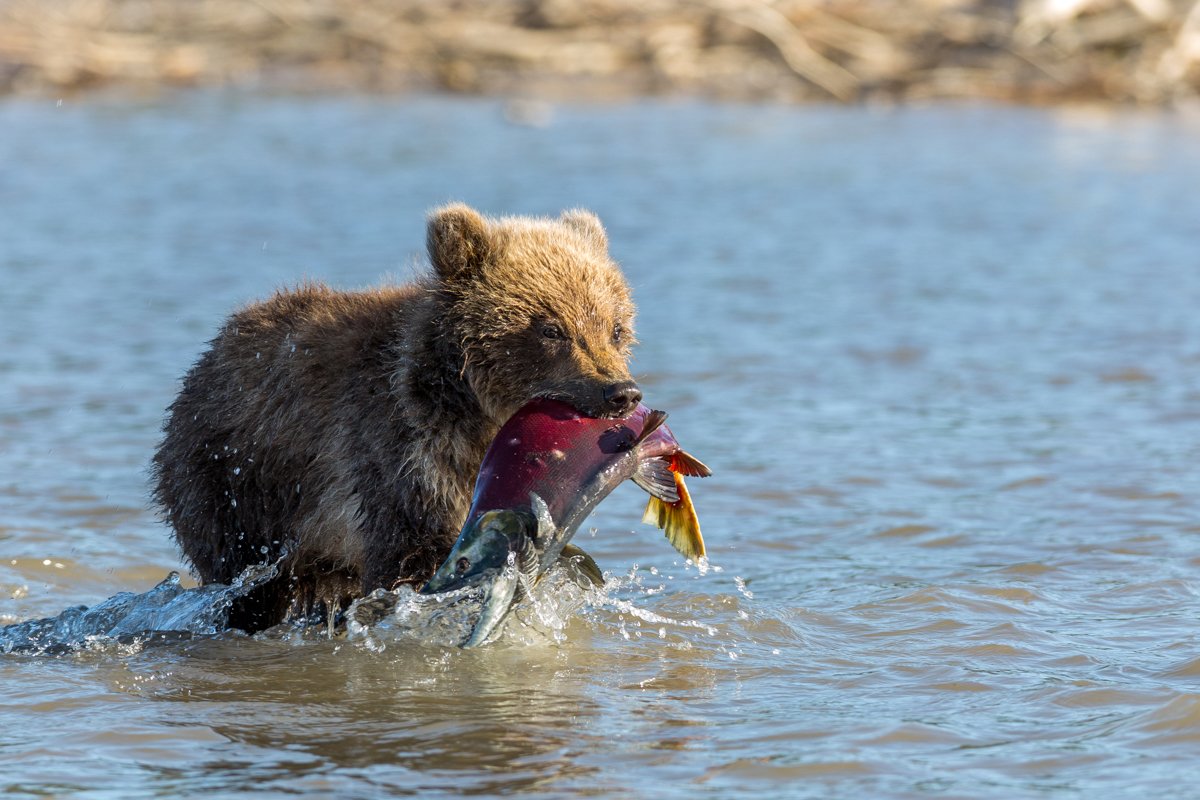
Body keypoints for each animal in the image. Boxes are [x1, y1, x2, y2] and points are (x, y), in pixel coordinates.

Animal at [153, 205, 643, 633]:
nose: (620, 392)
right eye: (552, 329)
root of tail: (205, 360)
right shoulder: (398, 451)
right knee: (244, 580)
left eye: (615, 328)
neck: (473, 412)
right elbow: (408, 556)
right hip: (235, 486)